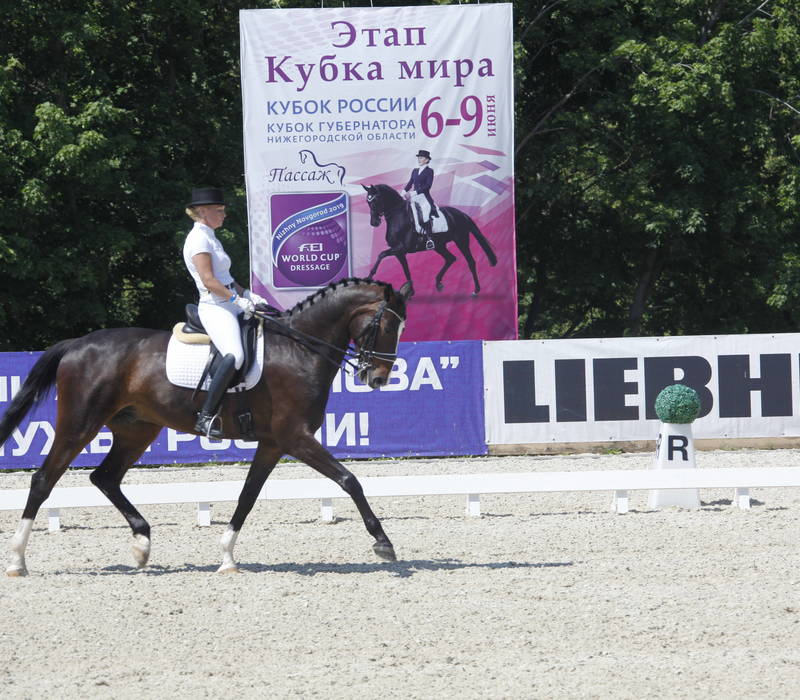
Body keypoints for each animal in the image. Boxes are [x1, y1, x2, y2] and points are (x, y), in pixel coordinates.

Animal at [0, 276, 412, 576]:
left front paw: (227, 557)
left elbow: (248, 496)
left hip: (136, 429)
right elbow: (349, 480)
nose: (377, 378)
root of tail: (77, 344)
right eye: (386, 324)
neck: (299, 349)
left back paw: (142, 544)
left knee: (104, 477)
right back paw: (18, 561)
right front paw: (383, 542)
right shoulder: (295, 437)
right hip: (79, 424)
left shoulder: (273, 444)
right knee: (44, 480)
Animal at [364, 183, 500, 296]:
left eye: (375, 200)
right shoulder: (399, 252)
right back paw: (438, 283)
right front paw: (410, 291)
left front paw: (369, 277)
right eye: (367, 201)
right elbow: (406, 270)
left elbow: (381, 254)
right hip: (439, 246)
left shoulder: (401, 248)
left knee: (470, 262)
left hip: (461, 241)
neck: (399, 217)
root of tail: (461, 214)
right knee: (450, 258)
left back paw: (476, 290)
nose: (374, 223)